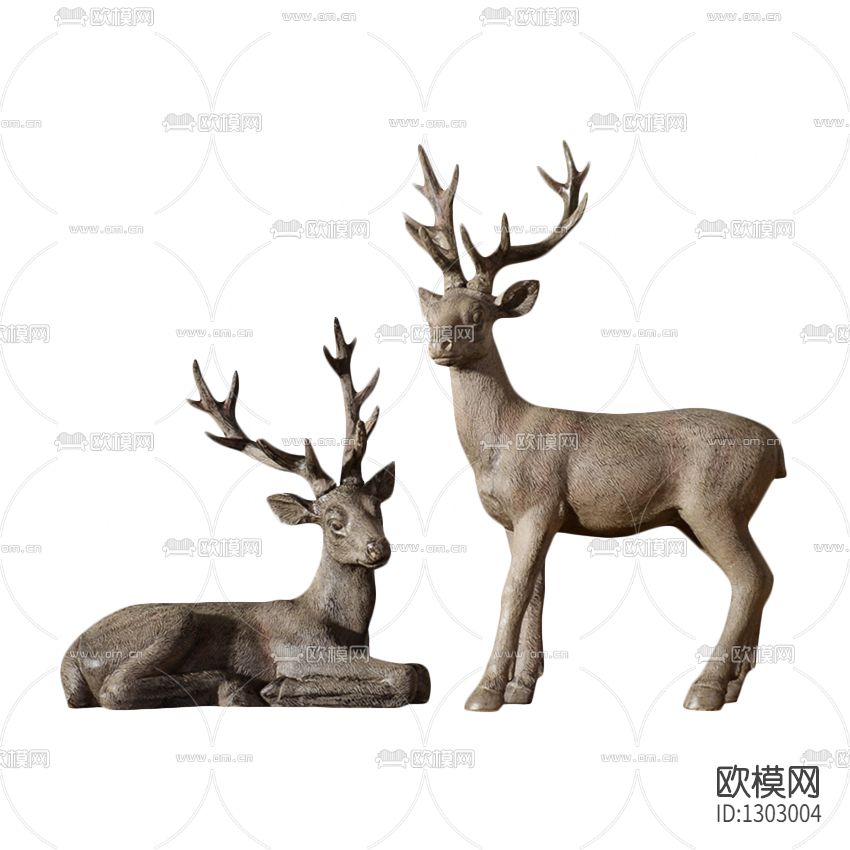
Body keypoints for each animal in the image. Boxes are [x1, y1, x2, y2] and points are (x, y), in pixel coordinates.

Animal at [61, 319, 430, 709]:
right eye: (334, 523)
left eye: (378, 509)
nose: (379, 548)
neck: (343, 629)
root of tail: (70, 658)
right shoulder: (299, 650)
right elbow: (409, 673)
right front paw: (282, 688)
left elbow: (421, 672)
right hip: (176, 620)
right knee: (114, 690)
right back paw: (237, 685)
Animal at [405, 142, 785, 712]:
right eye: (434, 313)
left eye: (479, 313)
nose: (441, 344)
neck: (501, 440)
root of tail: (776, 448)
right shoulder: (521, 519)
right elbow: (538, 592)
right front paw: (522, 687)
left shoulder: (538, 503)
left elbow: (513, 590)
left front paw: (485, 691)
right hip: (716, 512)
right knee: (762, 576)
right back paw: (735, 686)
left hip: (713, 501)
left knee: (750, 577)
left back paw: (706, 688)